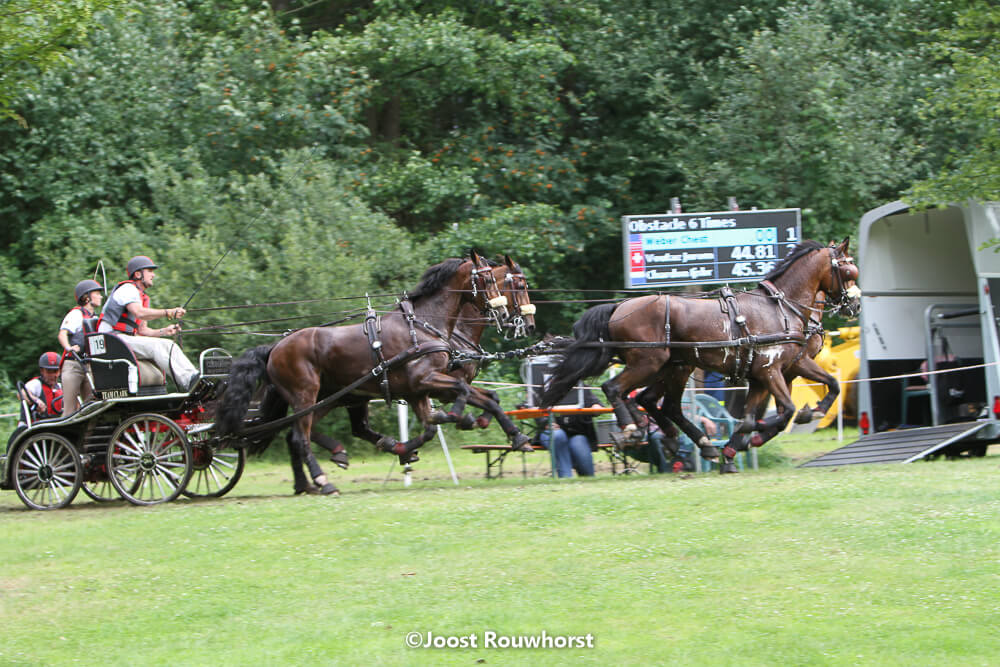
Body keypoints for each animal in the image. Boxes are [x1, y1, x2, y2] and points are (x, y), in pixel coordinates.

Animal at [216, 251, 535, 495]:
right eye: (489, 280)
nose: (512, 317)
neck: (426, 326)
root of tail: (277, 346)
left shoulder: (419, 390)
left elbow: (477, 403)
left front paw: (513, 435)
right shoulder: (428, 382)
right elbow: (462, 396)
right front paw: (462, 418)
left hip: (331, 397)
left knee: (318, 433)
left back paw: (314, 477)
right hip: (305, 395)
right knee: (299, 437)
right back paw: (323, 481)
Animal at [539, 239, 859, 472]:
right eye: (848, 271)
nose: (854, 304)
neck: (779, 307)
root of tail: (619, 307)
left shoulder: (770, 373)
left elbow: (760, 414)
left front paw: (734, 449)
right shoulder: (772, 370)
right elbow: (787, 410)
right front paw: (794, 418)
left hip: (672, 367)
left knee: (656, 402)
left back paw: (688, 440)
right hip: (650, 362)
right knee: (616, 388)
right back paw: (632, 428)